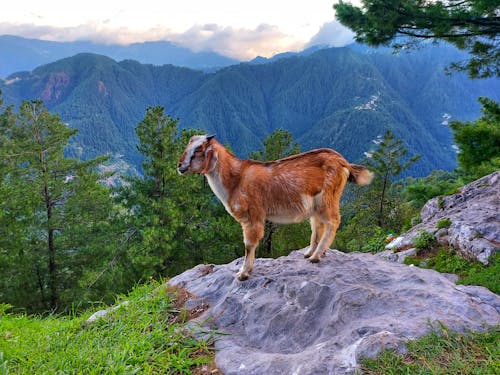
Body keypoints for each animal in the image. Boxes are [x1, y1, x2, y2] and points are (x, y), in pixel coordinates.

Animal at [178, 134, 374, 280]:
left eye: (198, 149)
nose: (180, 166)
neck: (236, 179)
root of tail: (343, 162)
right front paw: (245, 270)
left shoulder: (253, 215)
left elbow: (249, 244)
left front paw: (243, 273)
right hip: (315, 206)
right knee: (318, 225)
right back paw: (310, 253)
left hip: (327, 199)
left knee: (333, 222)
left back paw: (316, 256)